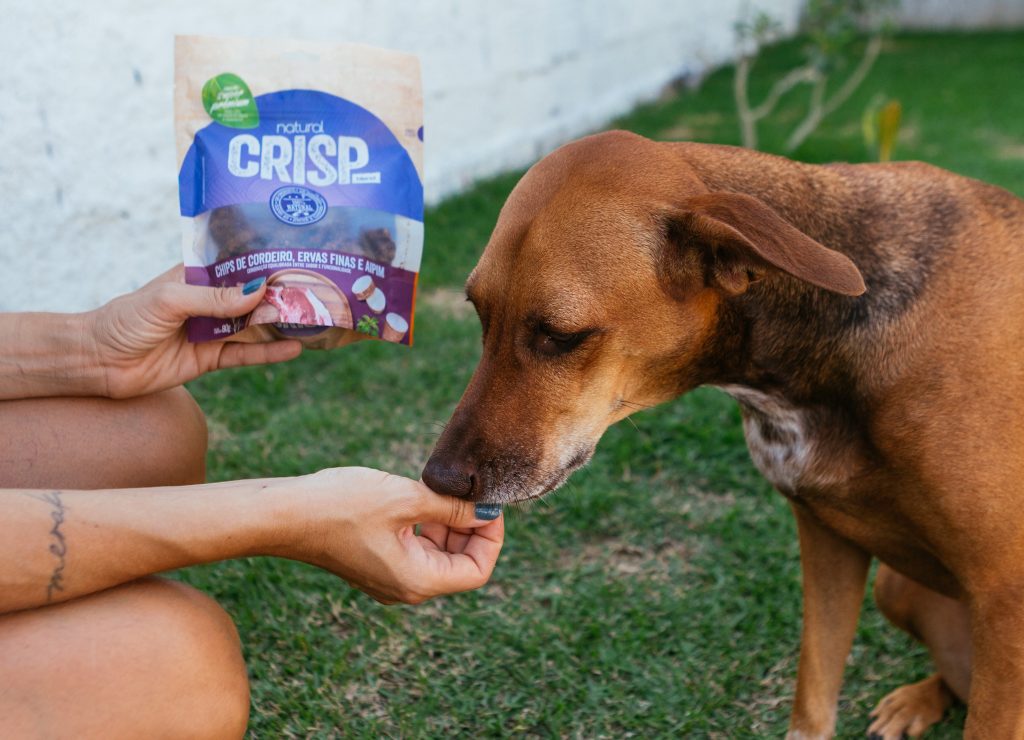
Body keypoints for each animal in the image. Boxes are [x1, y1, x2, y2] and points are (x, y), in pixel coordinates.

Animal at [421, 130, 1024, 736]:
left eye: (560, 335)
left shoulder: (1005, 599)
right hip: (894, 587)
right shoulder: (827, 539)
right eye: (480, 315)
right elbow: (813, 697)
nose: (437, 478)